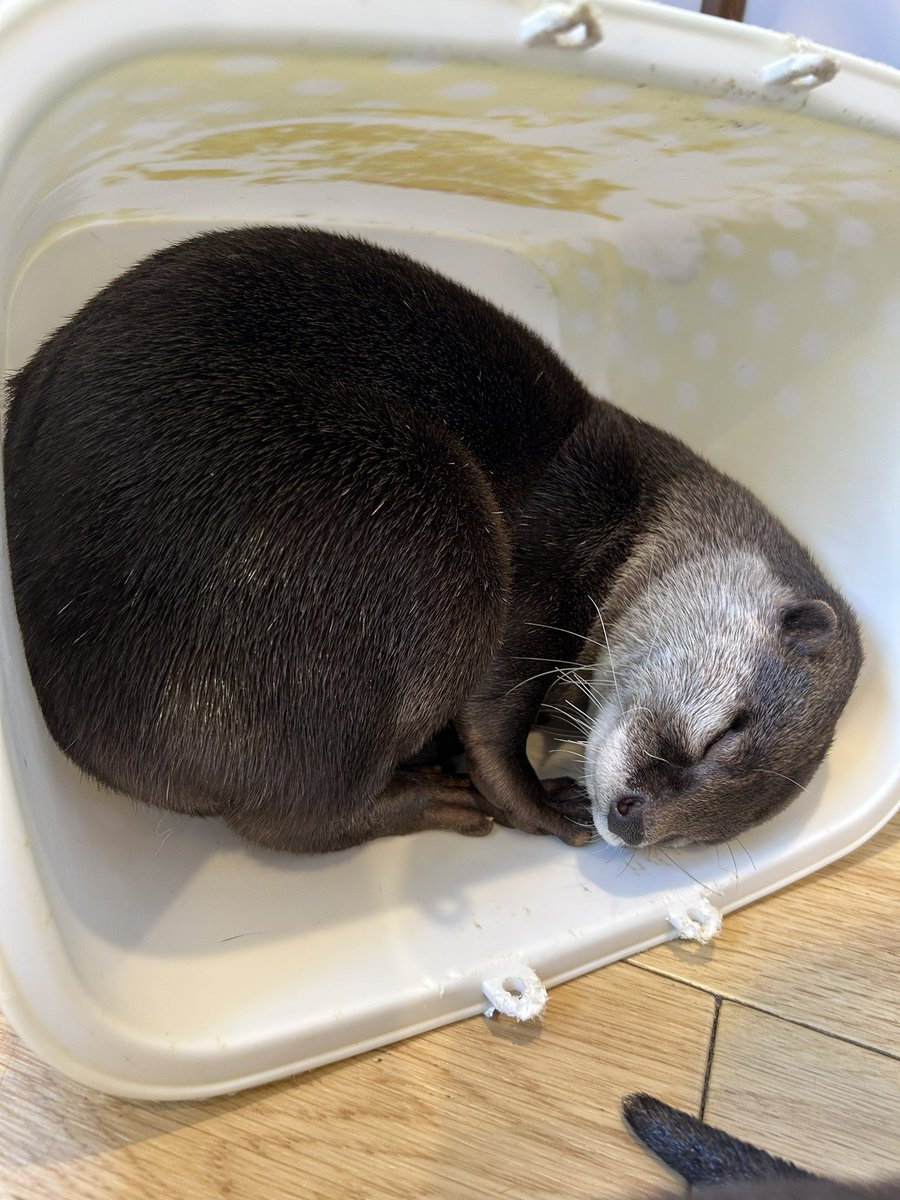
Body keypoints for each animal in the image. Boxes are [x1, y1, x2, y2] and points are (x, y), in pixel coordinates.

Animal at [2, 227, 862, 854]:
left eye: (696, 839)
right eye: (726, 733)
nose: (631, 819)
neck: (640, 521)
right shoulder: (563, 527)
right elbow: (493, 703)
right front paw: (532, 800)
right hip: (432, 520)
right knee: (282, 821)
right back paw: (432, 801)